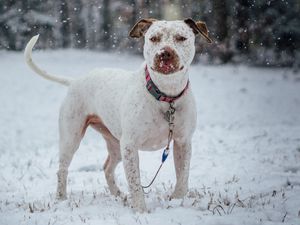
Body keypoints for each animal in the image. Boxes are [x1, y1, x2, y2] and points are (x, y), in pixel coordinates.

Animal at [24, 18, 212, 213]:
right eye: (153, 38)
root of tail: (75, 81)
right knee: (62, 169)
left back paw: (118, 195)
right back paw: (61, 199)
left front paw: (177, 201)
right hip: (71, 137)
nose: (164, 53)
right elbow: (135, 183)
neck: (166, 96)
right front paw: (140, 211)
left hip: (115, 144)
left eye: (181, 38)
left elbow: (183, 176)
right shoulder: (130, 145)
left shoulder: (183, 142)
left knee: (107, 168)